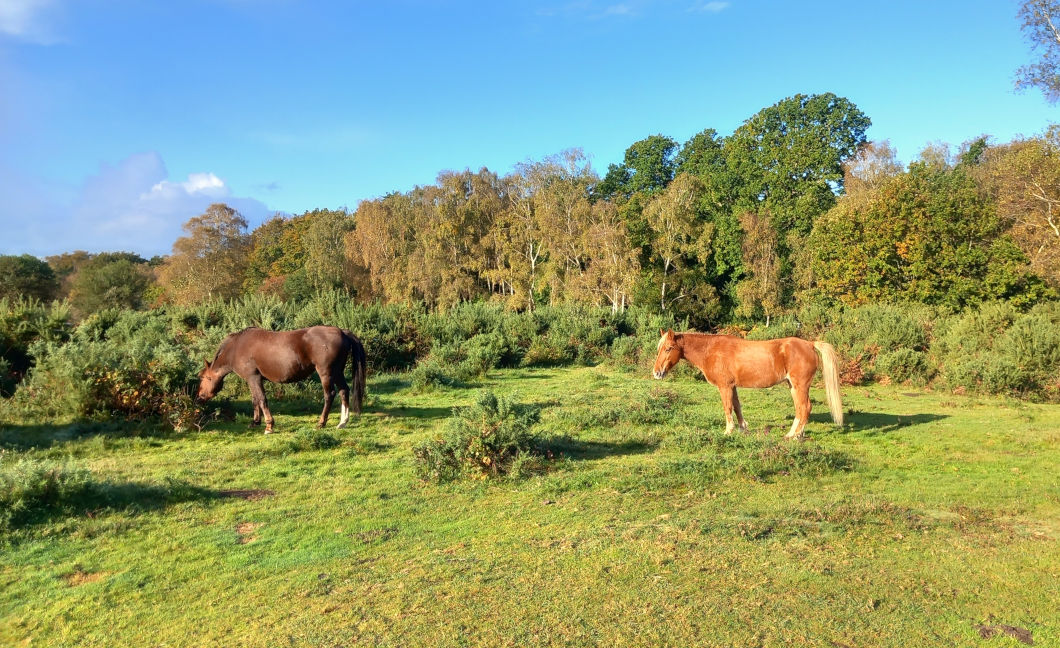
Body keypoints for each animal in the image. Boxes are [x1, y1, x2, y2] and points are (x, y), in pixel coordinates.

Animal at [196, 326, 367, 433]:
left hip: (326, 373)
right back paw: (342, 422)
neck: (237, 347)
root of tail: (342, 332)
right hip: (337, 372)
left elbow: (262, 399)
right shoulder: (252, 380)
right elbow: (255, 400)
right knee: (344, 391)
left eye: (204, 377)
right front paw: (255, 422)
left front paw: (269, 426)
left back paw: (321, 423)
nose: (200, 397)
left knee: (329, 395)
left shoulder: (254, 378)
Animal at [651, 329, 843, 439]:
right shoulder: (732, 386)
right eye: (658, 349)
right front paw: (743, 429)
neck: (711, 350)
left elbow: (727, 407)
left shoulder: (725, 386)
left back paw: (795, 435)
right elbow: (737, 407)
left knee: (805, 407)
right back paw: (793, 434)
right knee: (800, 408)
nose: (657, 373)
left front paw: (728, 431)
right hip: (793, 386)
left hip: (800, 386)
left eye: (668, 348)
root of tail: (810, 344)